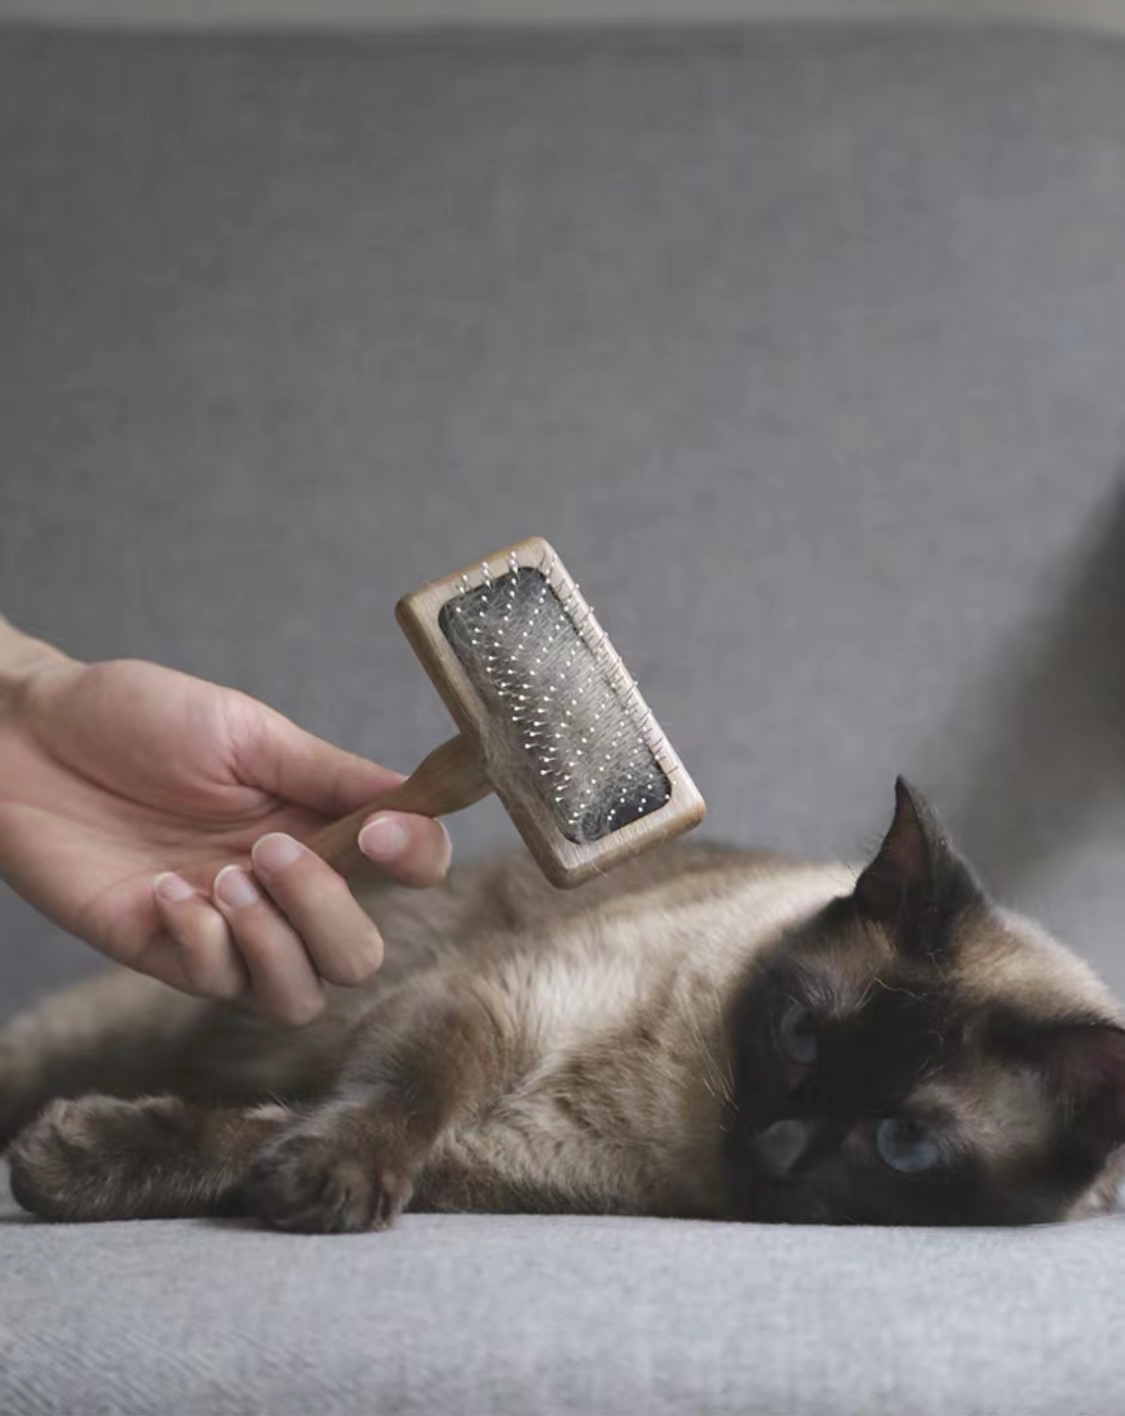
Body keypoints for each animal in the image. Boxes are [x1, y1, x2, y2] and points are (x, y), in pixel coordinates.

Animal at [4, 778, 1124, 1230]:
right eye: (802, 1033)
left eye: (902, 1144)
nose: (774, 1147)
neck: (663, 1112)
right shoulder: (495, 1004)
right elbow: (395, 1098)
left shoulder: (495, 1163)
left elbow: (255, 1143)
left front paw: (75, 1164)